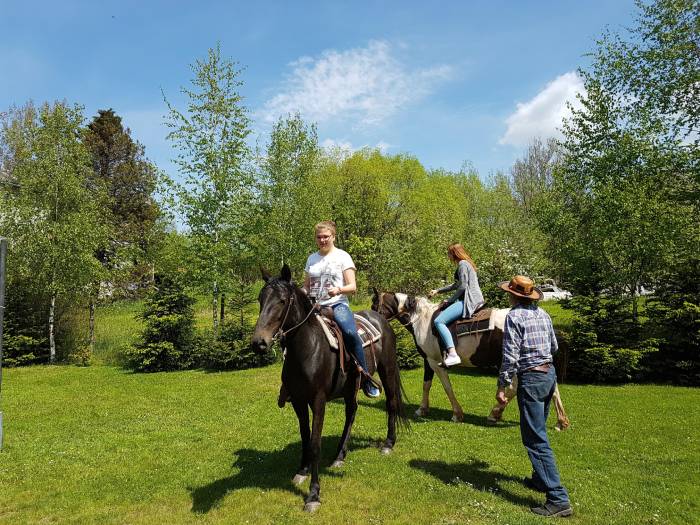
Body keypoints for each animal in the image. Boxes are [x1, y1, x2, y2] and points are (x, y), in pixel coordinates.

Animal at [252, 264, 408, 510]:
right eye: (260, 299)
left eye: (282, 301)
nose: (259, 343)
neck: (307, 349)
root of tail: (380, 318)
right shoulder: (298, 400)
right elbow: (305, 437)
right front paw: (302, 471)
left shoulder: (318, 400)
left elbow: (315, 444)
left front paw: (313, 495)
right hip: (351, 387)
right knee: (351, 412)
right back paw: (339, 456)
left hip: (388, 370)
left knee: (391, 402)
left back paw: (388, 444)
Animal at [372, 290, 568, 430]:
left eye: (374, 305)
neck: (422, 320)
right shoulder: (428, 360)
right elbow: (427, 385)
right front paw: (423, 409)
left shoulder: (434, 362)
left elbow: (446, 387)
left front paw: (456, 414)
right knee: (552, 386)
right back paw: (561, 421)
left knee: (514, 388)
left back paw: (495, 413)